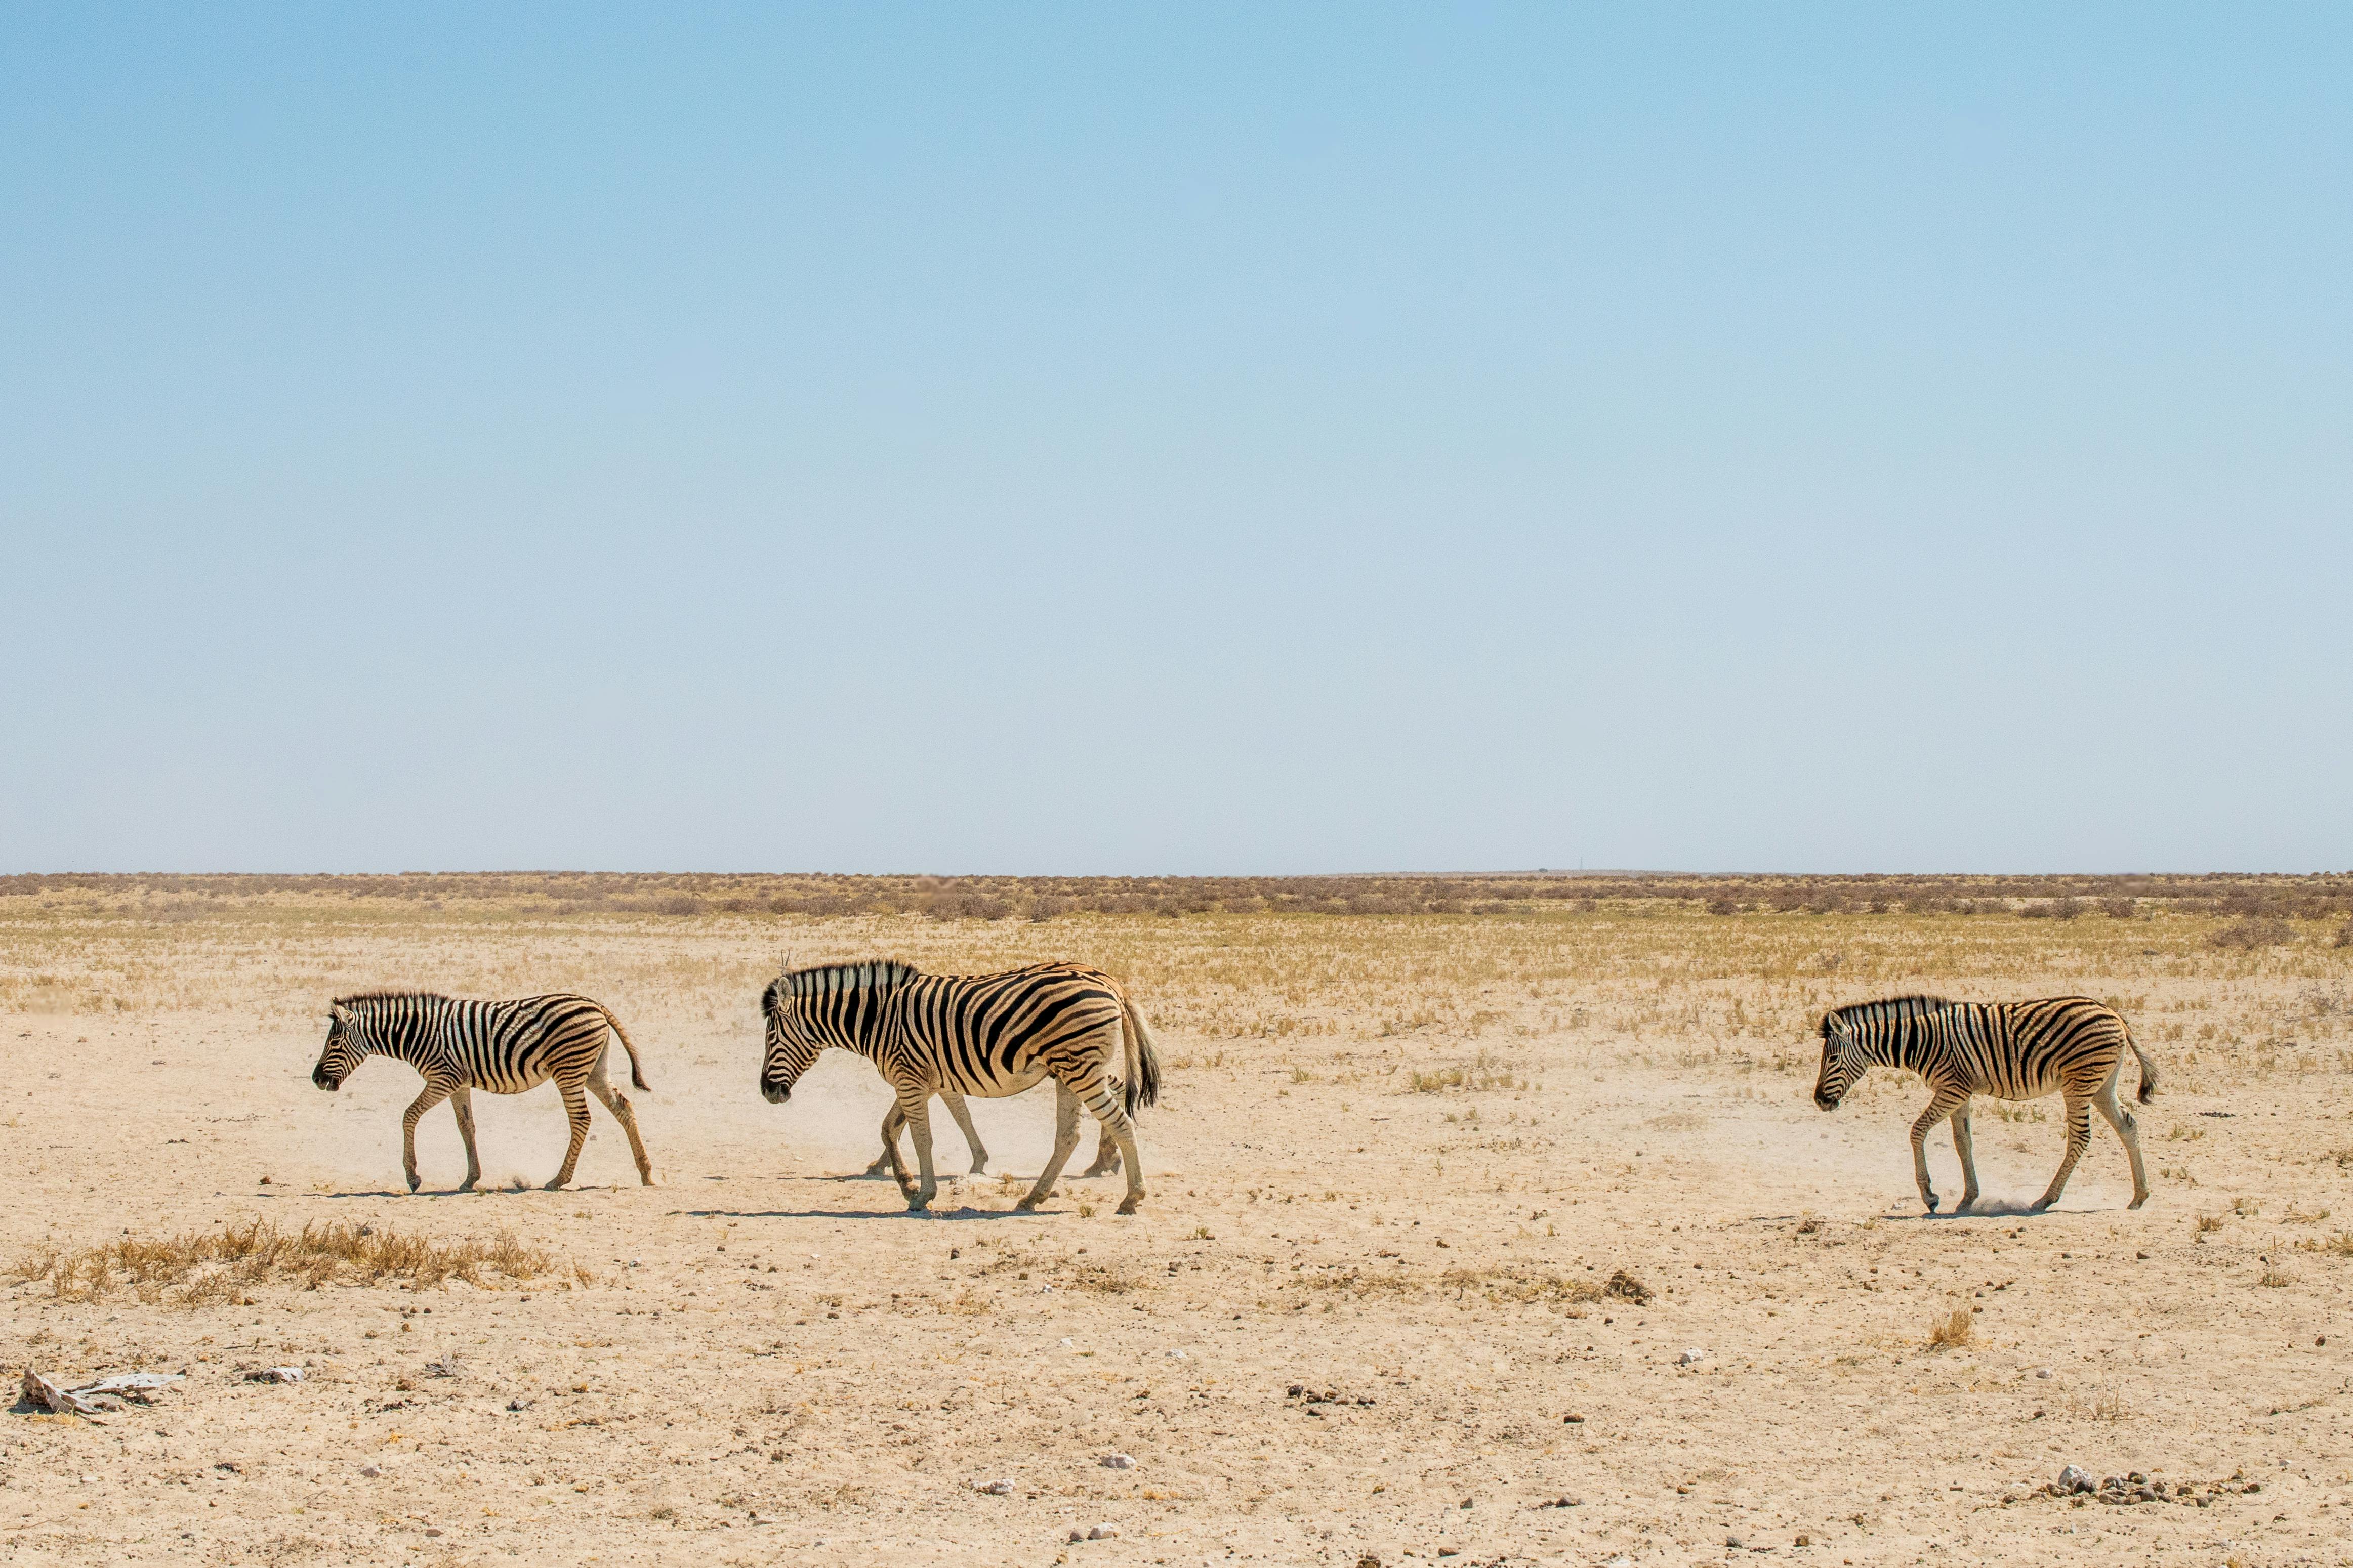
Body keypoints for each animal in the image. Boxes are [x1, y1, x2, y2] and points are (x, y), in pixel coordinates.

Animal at [310, 991, 657, 1193]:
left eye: (334, 1043)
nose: (315, 1079)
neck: (417, 1034)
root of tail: (594, 1003)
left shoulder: (443, 1078)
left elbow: (409, 1116)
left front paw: (413, 1177)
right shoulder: (458, 1084)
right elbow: (466, 1127)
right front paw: (470, 1179)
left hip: (569, 1069)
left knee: (582, 1120)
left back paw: (559, 1180)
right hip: (594, 1070)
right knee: (624, 1107)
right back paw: (646, 1173)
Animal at [760, 959, 1160, 1214]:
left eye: (771, 1037)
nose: (767, 1092)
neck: (877, 1019)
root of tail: (1110, 982)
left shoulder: (909, 1078)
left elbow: (921, 1137)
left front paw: (922, 1193)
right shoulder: (922, 1079)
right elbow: (892, 1128)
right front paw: (904, 1181)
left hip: (1079, 1069)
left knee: (1120, 1121)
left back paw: (1131, 1196)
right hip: (1068, 1070)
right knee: (1069, 1135)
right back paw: (1036, 1196)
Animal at [1812, 994, 2158, 1214]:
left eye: (1832, 1058)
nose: (1818, 1101)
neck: (1921, 1041)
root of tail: (2113, 1013)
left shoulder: (1952, 1089)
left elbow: (1917, 1131)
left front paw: (1930, 1196)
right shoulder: (1960, 1092)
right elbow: (1962, 1142)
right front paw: (1968, 1199)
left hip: (2079, 1082)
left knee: (2080, 1138)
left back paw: (2045, 1200)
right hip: (2101, 1085)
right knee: (2128, 1126)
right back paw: (2139, 1197)